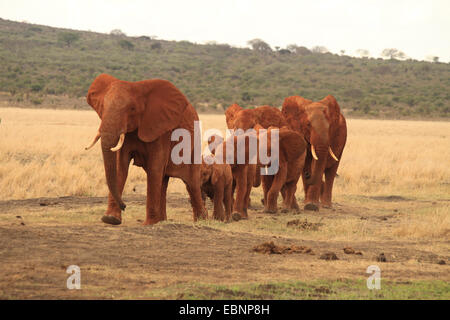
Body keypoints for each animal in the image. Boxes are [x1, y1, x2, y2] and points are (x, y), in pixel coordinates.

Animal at [84, 74, 206, 225]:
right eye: (102, 107)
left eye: (132, 109)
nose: (124, 206)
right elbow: (120, 166)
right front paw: (111, 219)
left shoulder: (161, 128)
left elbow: (154, 167)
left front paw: (148, 224)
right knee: (163, 181)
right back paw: (162, 220)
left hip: (195, 145)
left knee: (191, 184)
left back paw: (201, 220)